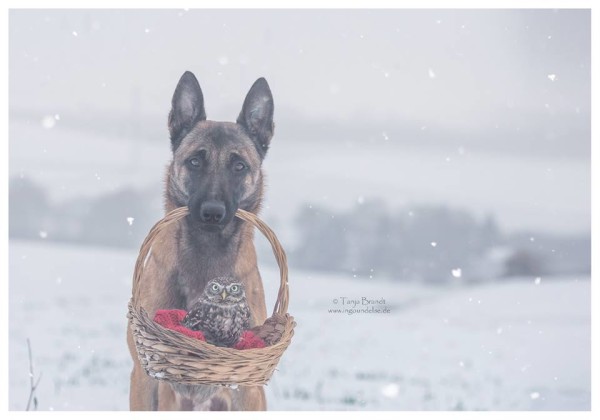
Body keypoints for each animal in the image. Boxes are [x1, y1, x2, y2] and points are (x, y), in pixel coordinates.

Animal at [129, 71, 276, 410]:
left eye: (239, 166)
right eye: (195, 162)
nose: (212, 213)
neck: (207, 251)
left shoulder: (248, 389)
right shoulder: (151, 380)